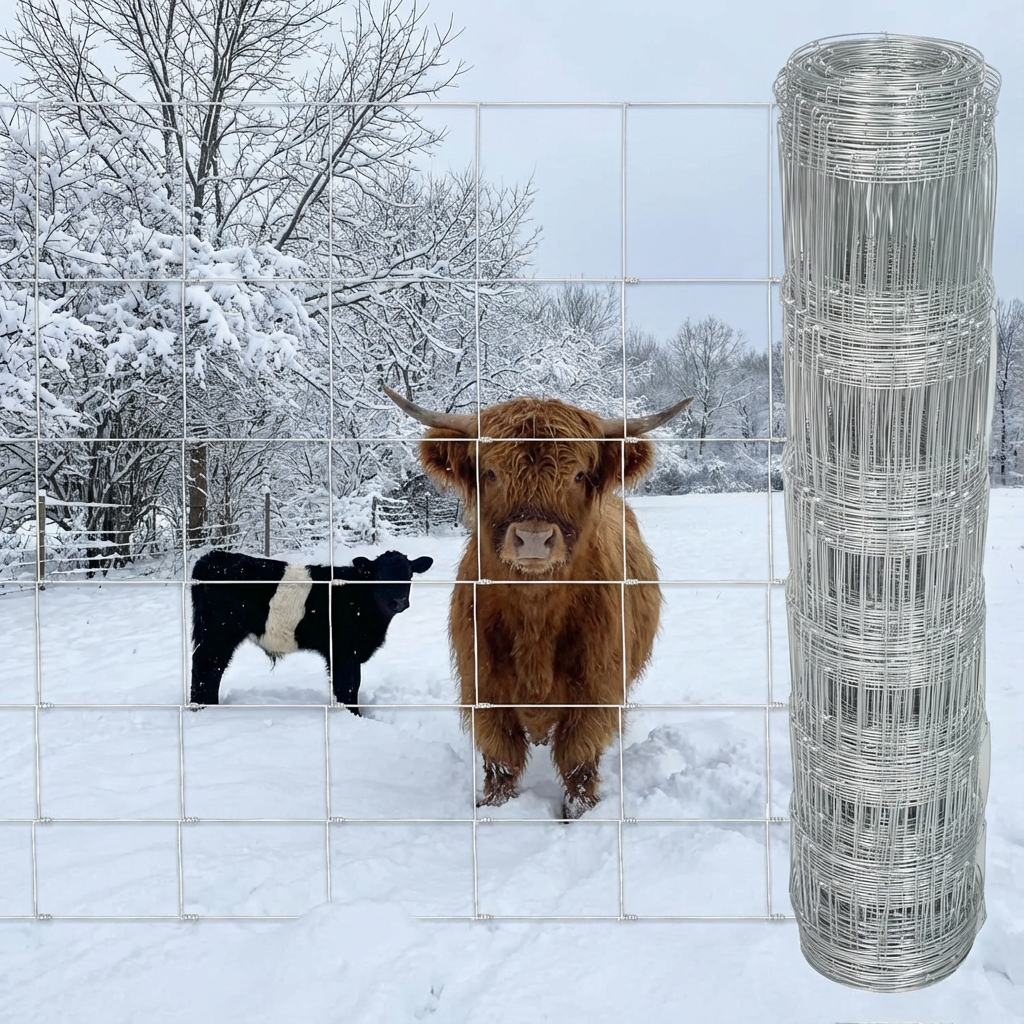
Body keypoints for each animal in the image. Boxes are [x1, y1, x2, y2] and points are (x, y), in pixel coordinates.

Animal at [189, 549, 433, 710]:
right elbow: (348, 687)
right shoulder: (344, 652)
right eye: (380, 576)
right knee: (206, 665)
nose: (398, 601)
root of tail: (212, 557)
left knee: (212, 667)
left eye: (409, 574)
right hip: (219, 633)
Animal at [384, 384, 692, 819]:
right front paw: (496, 805)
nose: (533, 538)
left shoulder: (595, 687)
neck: (535, 618)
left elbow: (577, 756)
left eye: (578, 474)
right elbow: (502, 754)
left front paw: (579, 811)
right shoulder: (484, 685)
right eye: (491, 472)